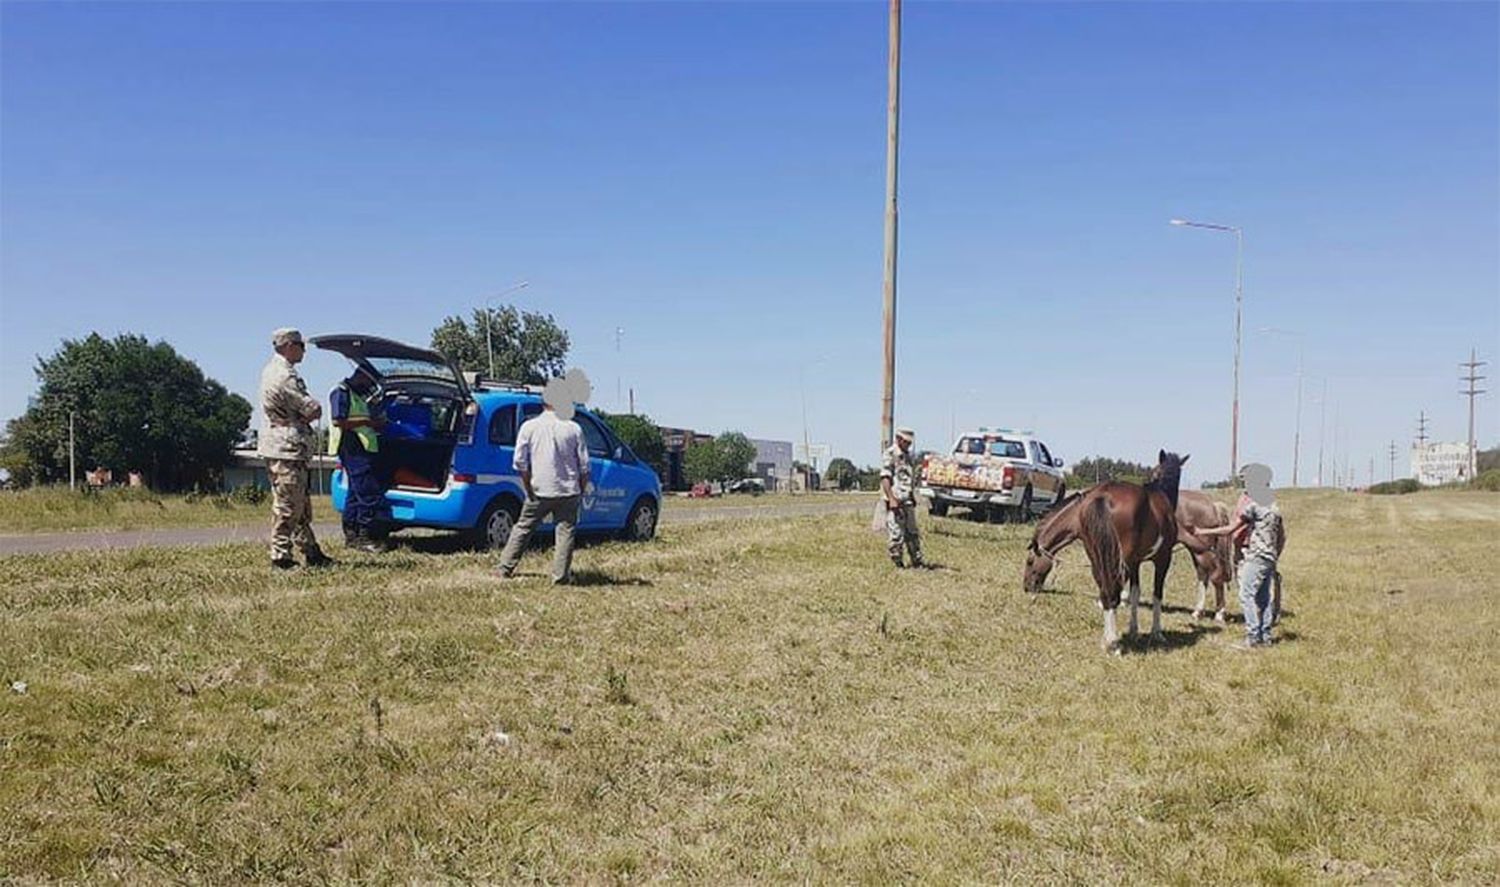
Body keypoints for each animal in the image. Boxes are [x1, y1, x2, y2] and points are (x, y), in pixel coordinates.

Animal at [1080, 450, 1182, 651]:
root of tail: (1104, 496)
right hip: (1120, 561)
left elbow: (1135, 593)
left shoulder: (1135, 562)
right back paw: (1113, 642)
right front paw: (1157, 633)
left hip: (1098, 560)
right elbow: (1157, 594)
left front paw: (1134, 631)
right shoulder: (1163, 559)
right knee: (1112, 591)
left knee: (1105, 591)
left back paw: (1106, 640)